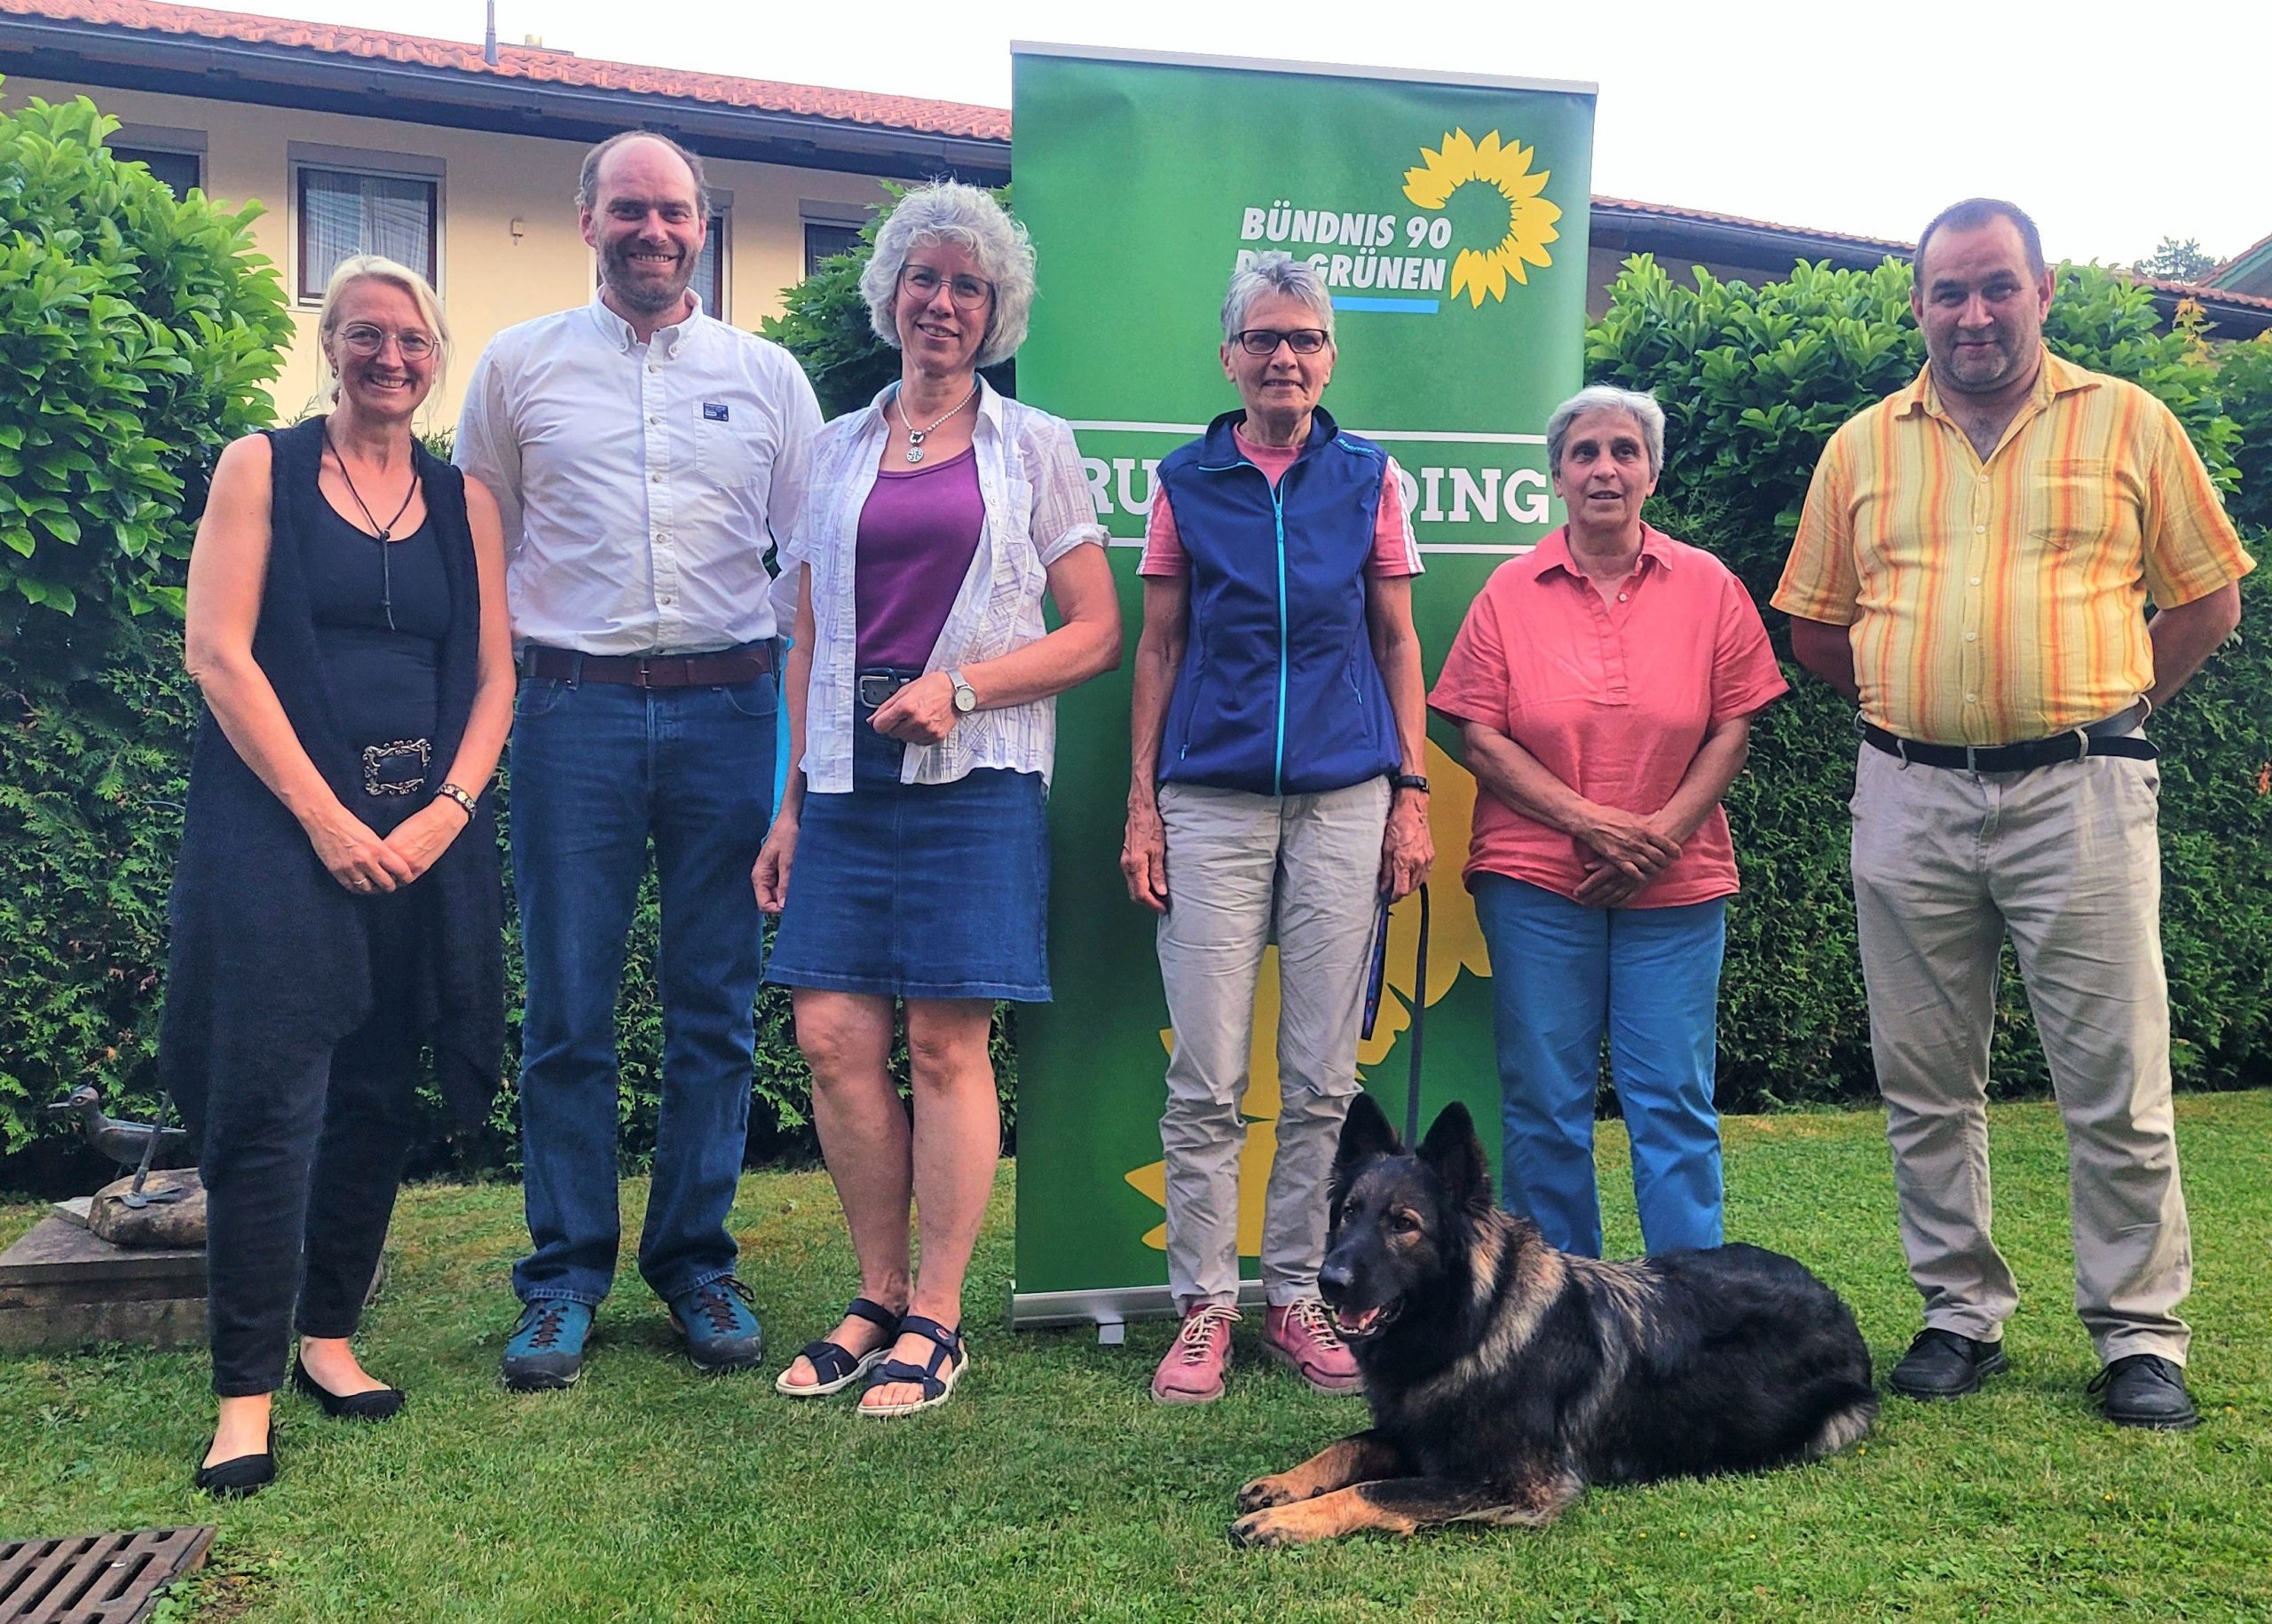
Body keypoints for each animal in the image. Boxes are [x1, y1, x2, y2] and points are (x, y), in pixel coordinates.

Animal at [1235, 1099, 1872, 1544]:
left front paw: (1291, 1519)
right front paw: (1285, 1485)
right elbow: (1348, 1447)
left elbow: (1378, 1489)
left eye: (1404, 1225)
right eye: (1348, 1214)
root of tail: (1835, 1304)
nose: (1329, 1282)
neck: (1475, 1325)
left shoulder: (1512, 1482)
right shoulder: (1415, 1434)